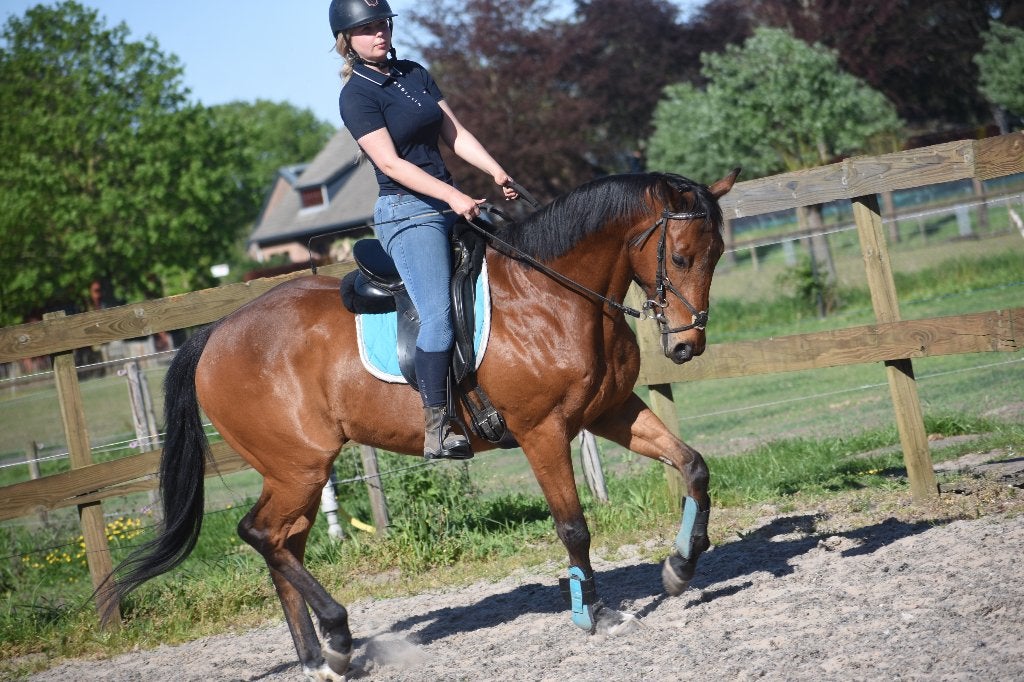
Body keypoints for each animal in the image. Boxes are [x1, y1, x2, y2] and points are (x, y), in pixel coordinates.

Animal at [106, 168, 739, 681]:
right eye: (681, 257)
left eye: (716, 256)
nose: (687, 347)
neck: (552, 295)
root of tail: (213, 334)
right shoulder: (542, 432)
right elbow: (574, 527)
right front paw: (595, 614)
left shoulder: (609, 411)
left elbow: (693, 466)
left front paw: (680, 567)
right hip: (298, 466)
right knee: (262, 535)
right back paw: (338, 634)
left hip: (296, 473)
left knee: (284, 543)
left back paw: (318, 658)